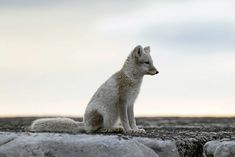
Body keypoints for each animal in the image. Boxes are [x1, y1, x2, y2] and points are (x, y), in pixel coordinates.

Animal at [30, 45, 158, 134]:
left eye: (152, 62)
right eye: (147, 62)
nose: (157, 72)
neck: (131, 78)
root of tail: (84, 123)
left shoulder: (131, 103)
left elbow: (132, 120)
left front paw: (136, 129)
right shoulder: (123, 102)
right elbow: (126, 120)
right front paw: (129, 130)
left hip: (113, 117)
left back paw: (115, 129)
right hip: (101, 113)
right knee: (93, 130)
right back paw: (109, 130)